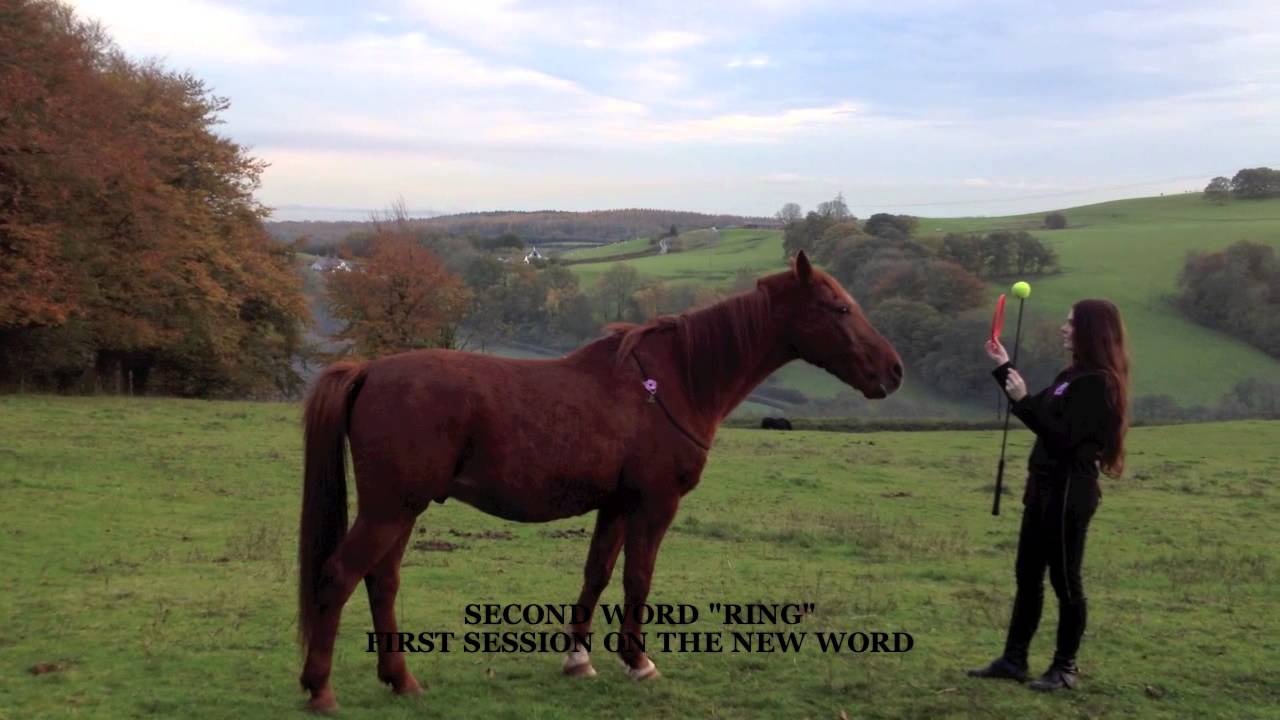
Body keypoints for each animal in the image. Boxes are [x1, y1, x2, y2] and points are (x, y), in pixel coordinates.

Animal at [296, 251, 903, 712]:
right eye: (838, 307)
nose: (894, 371)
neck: (673, 382)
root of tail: (370, 370)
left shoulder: (615, 506)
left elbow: (597, 575)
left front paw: (578, 660)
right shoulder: (655, 505)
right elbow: (638, 579)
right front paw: (638, 661)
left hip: (402, 509)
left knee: (381, 582)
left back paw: (401, 680)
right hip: (389, 510)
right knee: (339, 576)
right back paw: (320, 691)